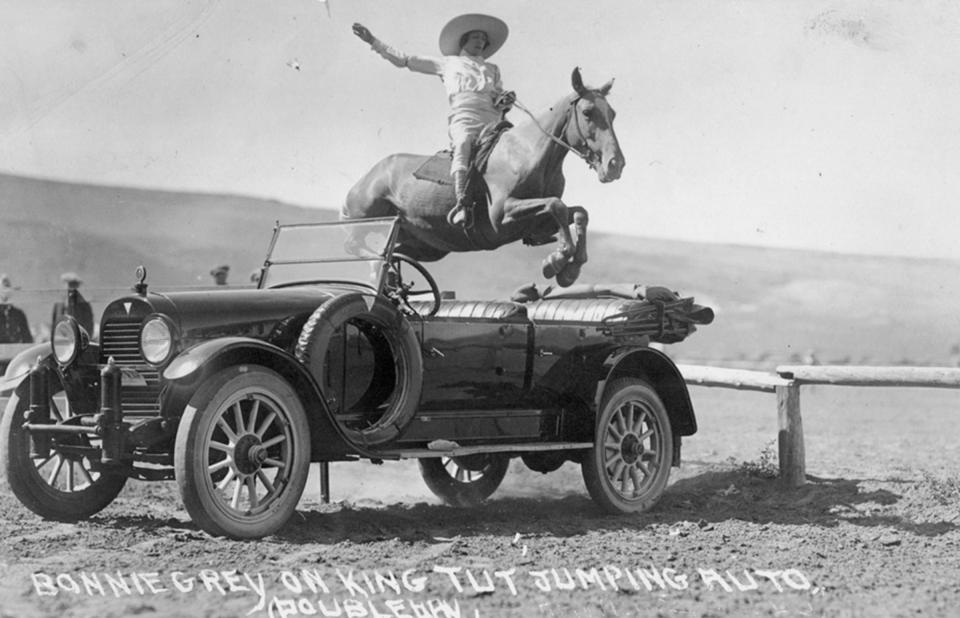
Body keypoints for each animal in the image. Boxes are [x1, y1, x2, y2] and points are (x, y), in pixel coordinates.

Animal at [342, 68, 628, 286]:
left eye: (613, 114)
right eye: (588, 112)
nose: (615, 164)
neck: (529, 154)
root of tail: (363, 181)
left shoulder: (537, 225)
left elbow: (578, 213)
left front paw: (570, 268)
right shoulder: (502, 216)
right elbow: (556, 205)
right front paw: (555, 261)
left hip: (425, 246)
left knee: (397, 253)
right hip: (365, 223)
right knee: (355, 247)